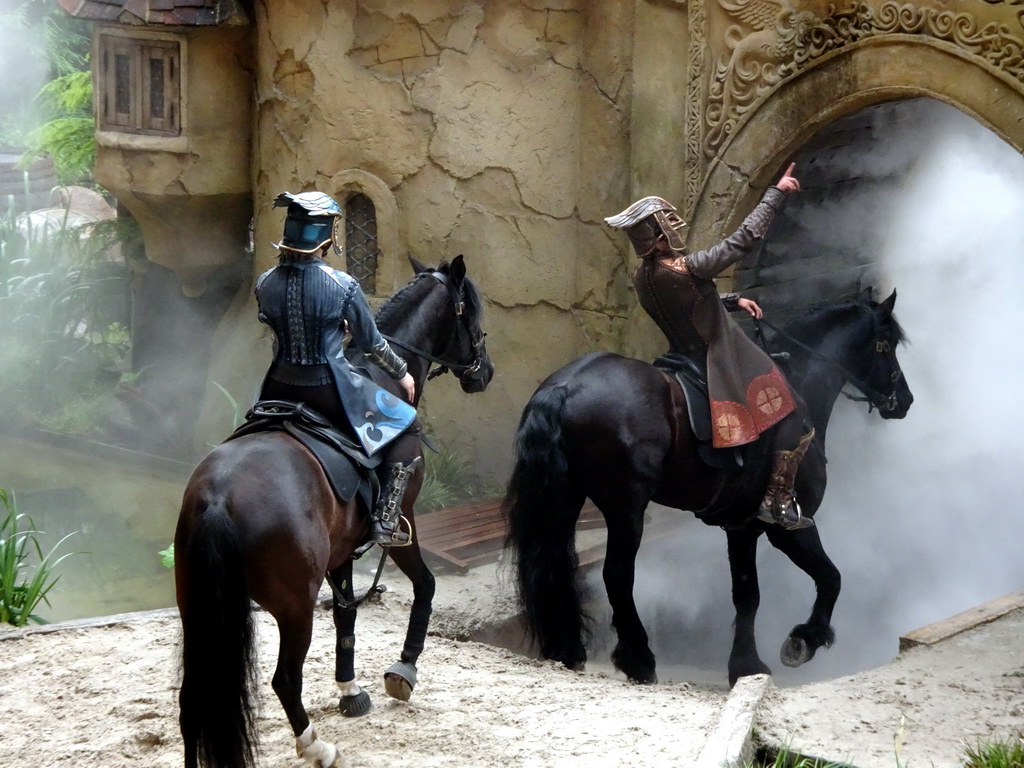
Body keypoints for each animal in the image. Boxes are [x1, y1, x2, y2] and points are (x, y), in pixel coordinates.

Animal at [174, 257, 493, 768]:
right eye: (473, 315)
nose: (485, 372)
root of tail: (220, 496)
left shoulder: (342, 550)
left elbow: (346, 616)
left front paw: (350, 690)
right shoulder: (402, 525)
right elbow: (425, 585)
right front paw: (403, 668)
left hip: (197, 604)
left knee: (192, 698)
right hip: (293, 607)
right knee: (285, 679)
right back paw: (316, 746)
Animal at [503, 290, 913, 688]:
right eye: (888, 344)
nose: (905, 400)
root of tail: (566, 386)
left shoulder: (741, 528)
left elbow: (746, 595)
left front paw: (744, 665)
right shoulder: (790, 528)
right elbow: (830, 578)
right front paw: (804, 639)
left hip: (565, 499)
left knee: (554, 564)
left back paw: (567, 648)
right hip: (626, 508)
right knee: (617, 575)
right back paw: (639, 659)